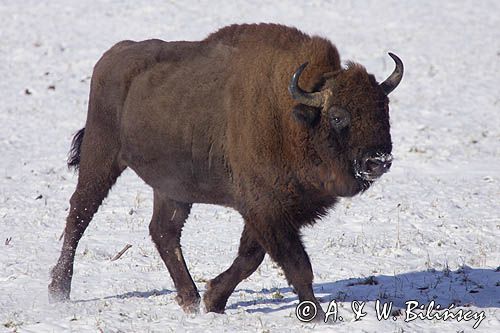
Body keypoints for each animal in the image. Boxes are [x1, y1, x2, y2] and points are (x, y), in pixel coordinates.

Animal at [48, 24, 404, 316]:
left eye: (383, 110)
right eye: (338, 115)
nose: (378, 161)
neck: (292, 117)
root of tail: (113, 56)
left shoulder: (273, 211)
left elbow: (250, 256)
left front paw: (213, 299)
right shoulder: (265, 208)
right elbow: (295, 263)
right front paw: (314, 314)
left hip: (172, 188)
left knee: (164, 232)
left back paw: (189, 299)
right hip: (101, 157)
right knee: (80, 213)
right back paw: (58, 291)